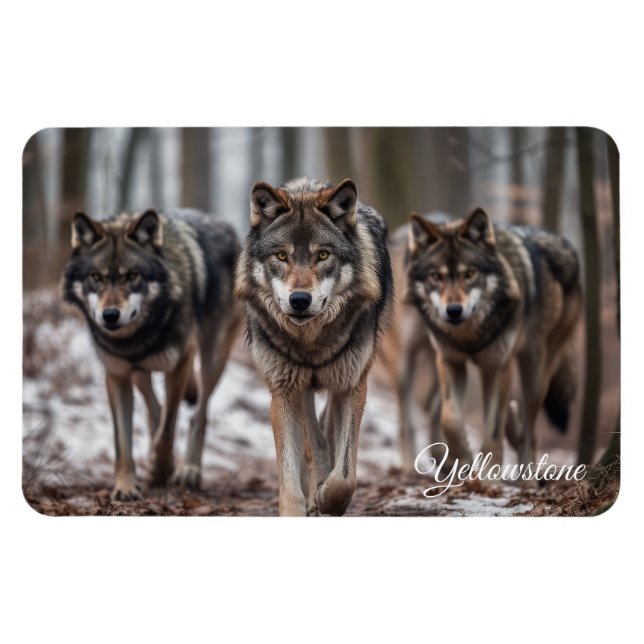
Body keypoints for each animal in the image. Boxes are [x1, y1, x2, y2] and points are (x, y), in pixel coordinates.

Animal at [62, 209, 242, 500]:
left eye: (132, 276)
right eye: (96, 277)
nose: (110, 315)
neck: (137, 338)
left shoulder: (180, 363)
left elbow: (168, 430)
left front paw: (162, 470)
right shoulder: (117, 376)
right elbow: (123, 441)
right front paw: (125, 486)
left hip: (212, 357)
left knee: (198, 415)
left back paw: (189, 470)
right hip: (140, 373)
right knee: (154, 409)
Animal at [234, 177, 393, 516]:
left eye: (322, 255)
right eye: (281, 256)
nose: (299, 300)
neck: (311, 341)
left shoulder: (352, 384)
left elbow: (345, 474)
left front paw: (328, 498)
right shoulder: (283, 390)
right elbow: (291, 474)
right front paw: (304, 503)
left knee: (327, 428)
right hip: (300, 386)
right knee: (314, 436)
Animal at [380, 208, 581, 472]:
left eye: (469, 274)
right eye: (436, 276)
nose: (454, 311)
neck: (469, 334)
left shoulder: (500, 365)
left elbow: (493, 427)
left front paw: (487, 475)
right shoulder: (451, 361)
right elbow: (450, 419)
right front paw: (465, 458)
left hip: (534, 374)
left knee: (530, 427)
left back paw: (523, 475)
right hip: (406, 363)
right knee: (415, 417)